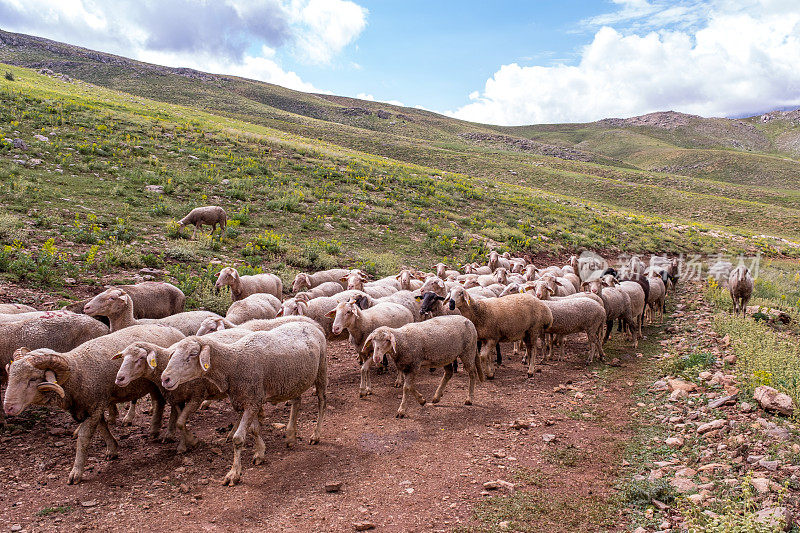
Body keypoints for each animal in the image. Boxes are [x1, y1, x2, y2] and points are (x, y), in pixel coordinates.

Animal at [3, 324, 181, 482]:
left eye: (33, 379)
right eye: (10, 375)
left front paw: (76, 472)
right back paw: (154, 429)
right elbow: (102, 427)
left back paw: (167, 433)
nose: (8, 407)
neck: (78, 372)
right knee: (159, 401)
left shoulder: (95, 405)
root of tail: (174, 330)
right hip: (152, 384)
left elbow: (84, 437)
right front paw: (112, 448)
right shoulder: (93, 405)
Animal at [161, 320, 326, 486]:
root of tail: (311, 324)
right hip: (294, 381)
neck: (234, 364)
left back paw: (316, 435)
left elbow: (238, 439)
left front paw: (234, 473)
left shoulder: (252, 402)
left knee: (322, 402)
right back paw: (291, 436)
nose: (165, 378)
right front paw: (260, 453)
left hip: (321, 369)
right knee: (297, 401)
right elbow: (254, 430)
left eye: (193, 353)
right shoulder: (248, 401)